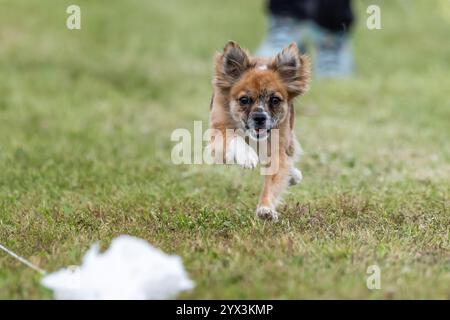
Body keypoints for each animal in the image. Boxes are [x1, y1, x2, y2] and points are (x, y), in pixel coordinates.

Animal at [207, 40, 310, 220]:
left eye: (275, 100)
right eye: (244, 100)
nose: (259, 117)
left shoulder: (277, 149)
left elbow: (274, 179)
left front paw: (265, 208)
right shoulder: (217, 132)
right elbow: (232, 136)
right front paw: (247, 156)